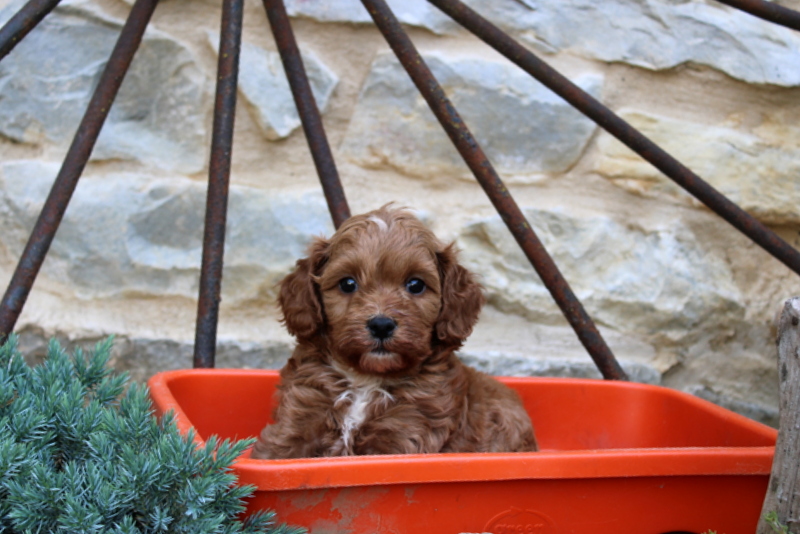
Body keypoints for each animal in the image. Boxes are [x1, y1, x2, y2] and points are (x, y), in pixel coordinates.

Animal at [252, 206, 536, 460]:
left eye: (416, 285)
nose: (381, 324)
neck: (365, 380)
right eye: (347, 283)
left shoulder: (404, 435)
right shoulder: (297, 421)